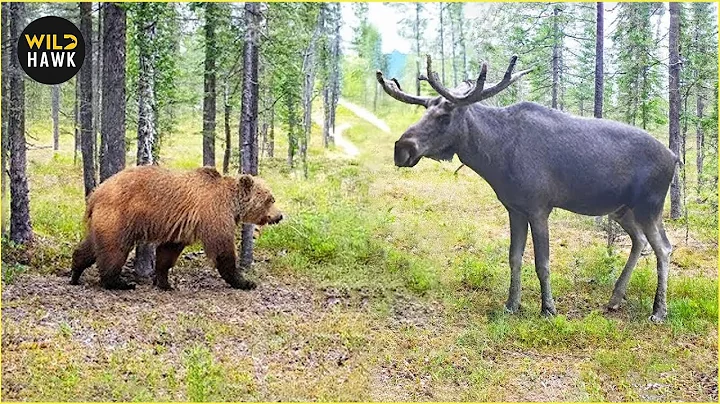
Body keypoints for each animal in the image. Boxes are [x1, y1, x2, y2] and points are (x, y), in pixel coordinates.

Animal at [70, 165, 283, 290]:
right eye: (270, 199)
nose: (280, 215)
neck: (232, 204)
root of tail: (96, 193)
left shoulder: (181, 227)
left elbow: (168, 252)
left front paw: (165, 282)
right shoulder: (215, 215)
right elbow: (222, 250)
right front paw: (245, 281)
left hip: (104, 221)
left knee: (93, 246)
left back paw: (75, 272)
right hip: (120, 216)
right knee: (114, 249)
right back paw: (119, 283)